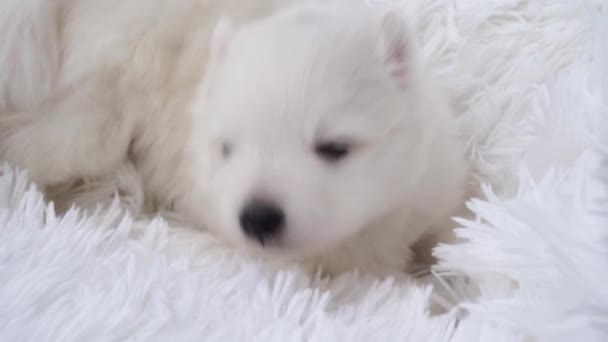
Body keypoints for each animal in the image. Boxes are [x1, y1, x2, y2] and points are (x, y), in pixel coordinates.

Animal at [0, 0, 470, 272]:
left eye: (335, 147)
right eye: (227, 148)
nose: (258, 217)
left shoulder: (432, 183)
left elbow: (449, 230)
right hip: (96, 109)